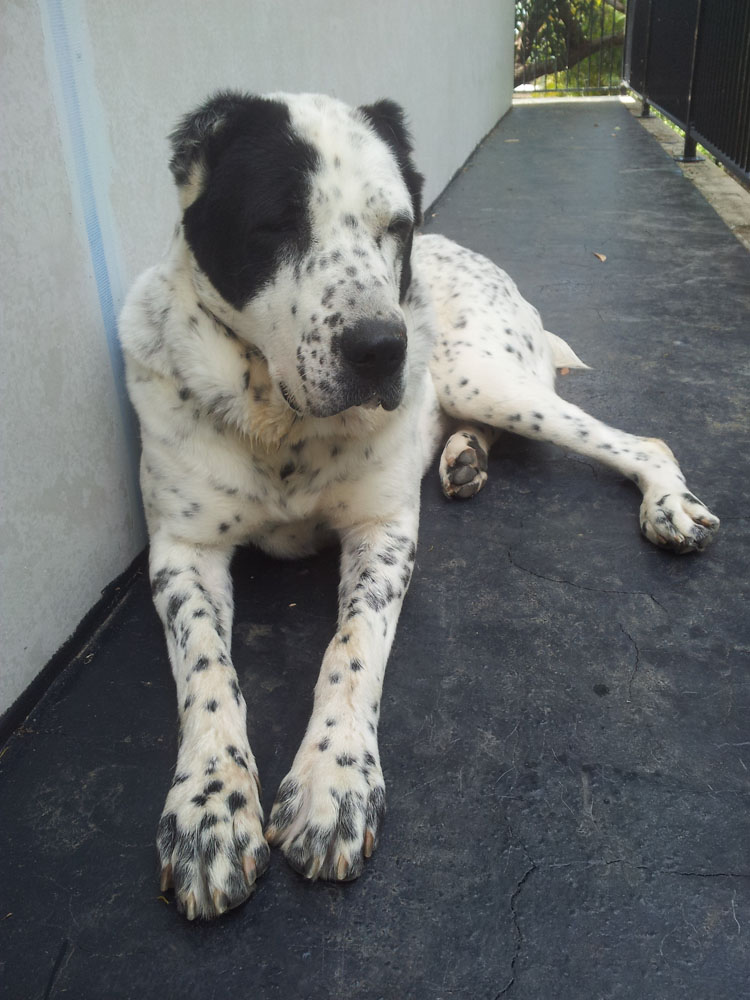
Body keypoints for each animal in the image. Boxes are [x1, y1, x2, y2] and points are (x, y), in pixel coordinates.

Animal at [119, 90, 724, 916]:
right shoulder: (183, 553)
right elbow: (208, 674)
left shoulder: (385, 532)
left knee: (644, 441)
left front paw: (334, 782)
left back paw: (667, 503)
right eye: (276, 223)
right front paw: (210, 808)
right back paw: (465, 456)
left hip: (481, 375)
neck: (281, 427)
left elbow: (351, 650)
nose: (382, 347)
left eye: (395, 227)